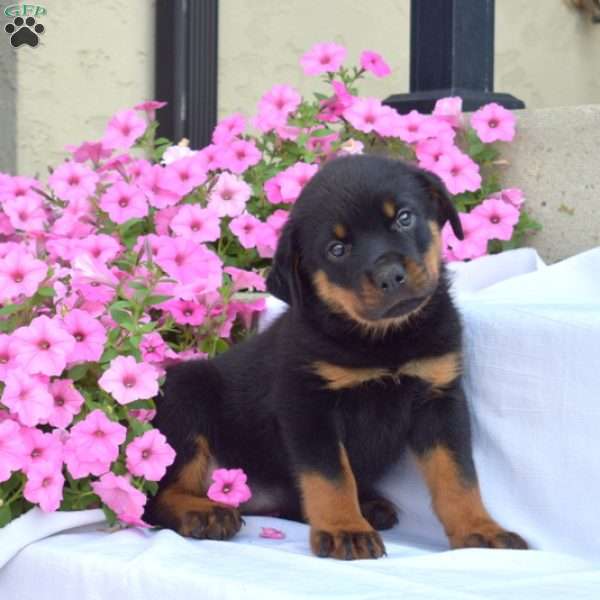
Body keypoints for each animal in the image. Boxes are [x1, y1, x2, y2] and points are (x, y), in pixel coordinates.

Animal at [146, 154, 528, 556]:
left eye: (404, 217)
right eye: (337, 249)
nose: (390, 275)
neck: (383, 339)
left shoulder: (440, 398)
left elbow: (458, 476)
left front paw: (479, 530)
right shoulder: (309, 405)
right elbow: (330, 476)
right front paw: (345, 529)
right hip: (186, 395)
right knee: (160, 496)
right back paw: (203, 512)